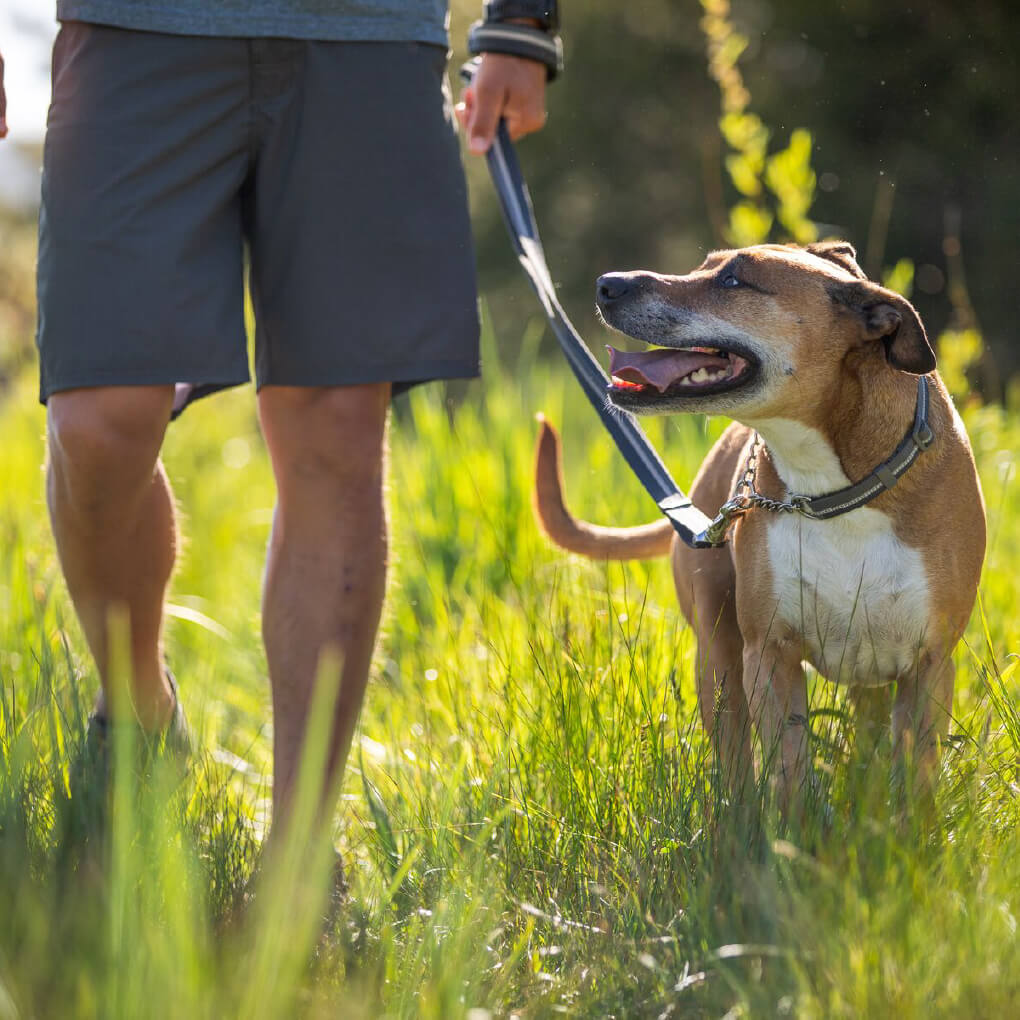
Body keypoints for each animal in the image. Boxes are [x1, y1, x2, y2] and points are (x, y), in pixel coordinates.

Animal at [538, 242, 983, 807]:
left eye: (734, 280)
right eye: (705, 265)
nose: (608, 284)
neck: (834, 489)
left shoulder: (929, 663)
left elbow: (916, 785)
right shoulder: (770, 655)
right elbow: (788, 774)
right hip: (719, 658)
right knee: (734, 759)